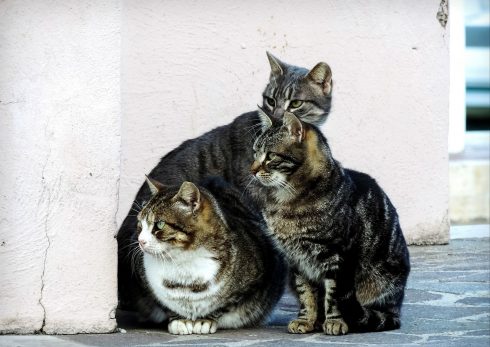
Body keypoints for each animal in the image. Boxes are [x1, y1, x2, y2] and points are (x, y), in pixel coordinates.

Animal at [136, 177, 286, 334]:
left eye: (159, 224)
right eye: (140, 223)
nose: (140, 240)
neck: (183, 260)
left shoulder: (252, 284)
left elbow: (223, 305)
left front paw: (205, 320)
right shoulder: (145, 284)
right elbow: (166, 305)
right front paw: (179, 320)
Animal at [249, 111, 410, 334]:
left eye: (270, 156)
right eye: (255, 153)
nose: (252, 170)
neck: (288, 201)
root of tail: (397, 309)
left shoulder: (337, 255)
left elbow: (333, 295)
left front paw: (335, 321)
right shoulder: (297, 260)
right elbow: (306, 294)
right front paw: (306, 320)